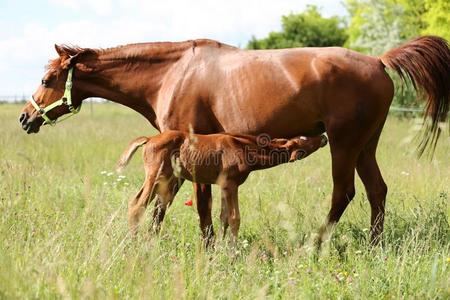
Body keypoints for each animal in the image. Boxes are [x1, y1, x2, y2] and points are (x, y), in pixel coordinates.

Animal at [118, 130, 326, 243]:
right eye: (303, 140)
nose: (324, 137)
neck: (243, 148)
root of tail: (149, 139)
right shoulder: (230, 184)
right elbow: (234, 218)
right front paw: (232, 253)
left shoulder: (225, 187)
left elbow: (223, 217)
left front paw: (220, 247)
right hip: (157, 177)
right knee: (137, 204)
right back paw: (134, 243)